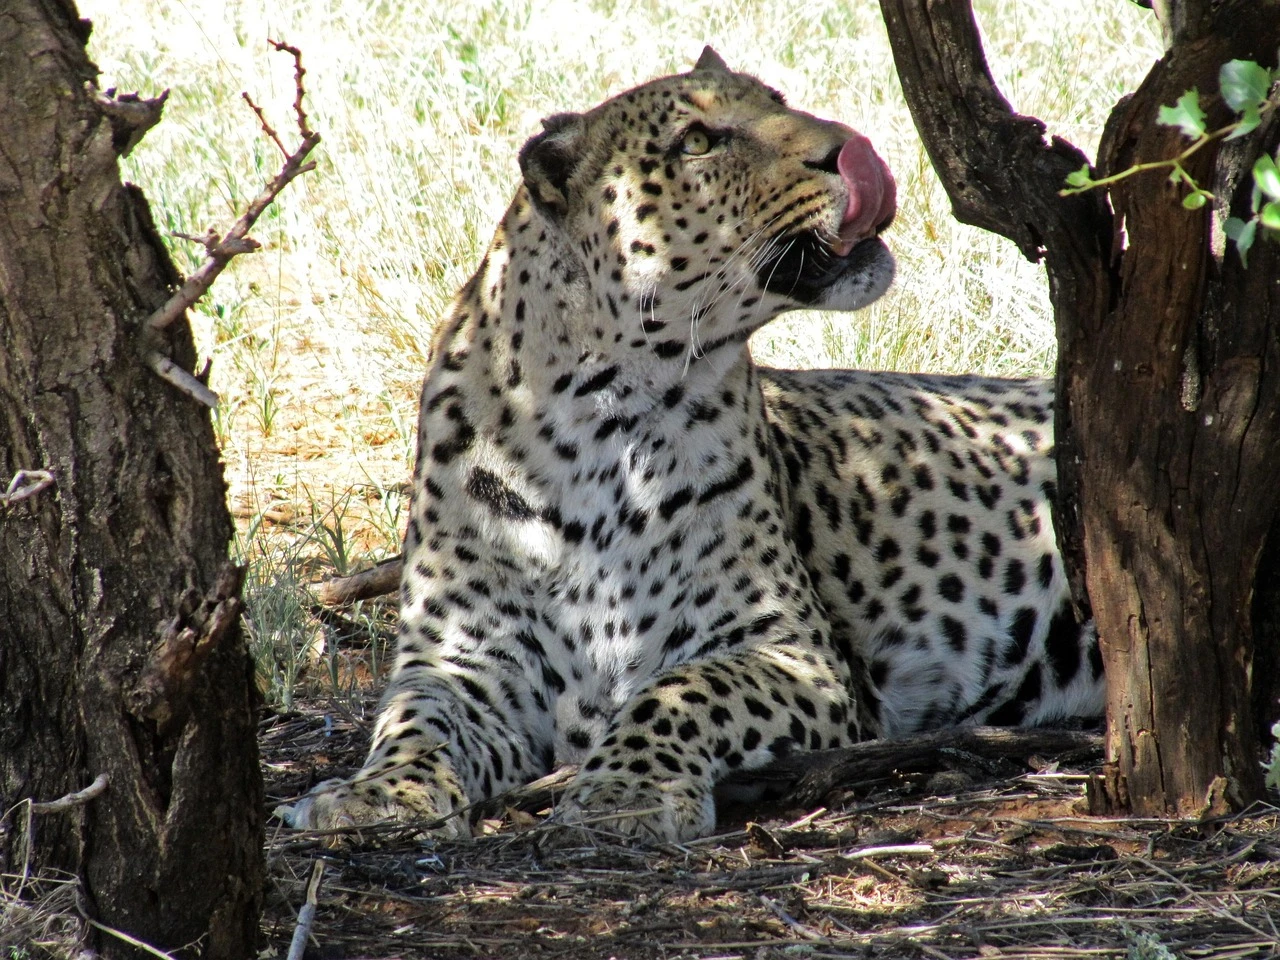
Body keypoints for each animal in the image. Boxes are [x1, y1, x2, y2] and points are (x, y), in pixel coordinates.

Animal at [283, 47, 1104, 843]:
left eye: (776, 100)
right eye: (698, 142)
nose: (851, 148)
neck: (596, 417)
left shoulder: (790, 648)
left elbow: (678, 692)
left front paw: (625, 792)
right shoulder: (458, 659)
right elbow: (415, 722)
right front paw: (376, 795)